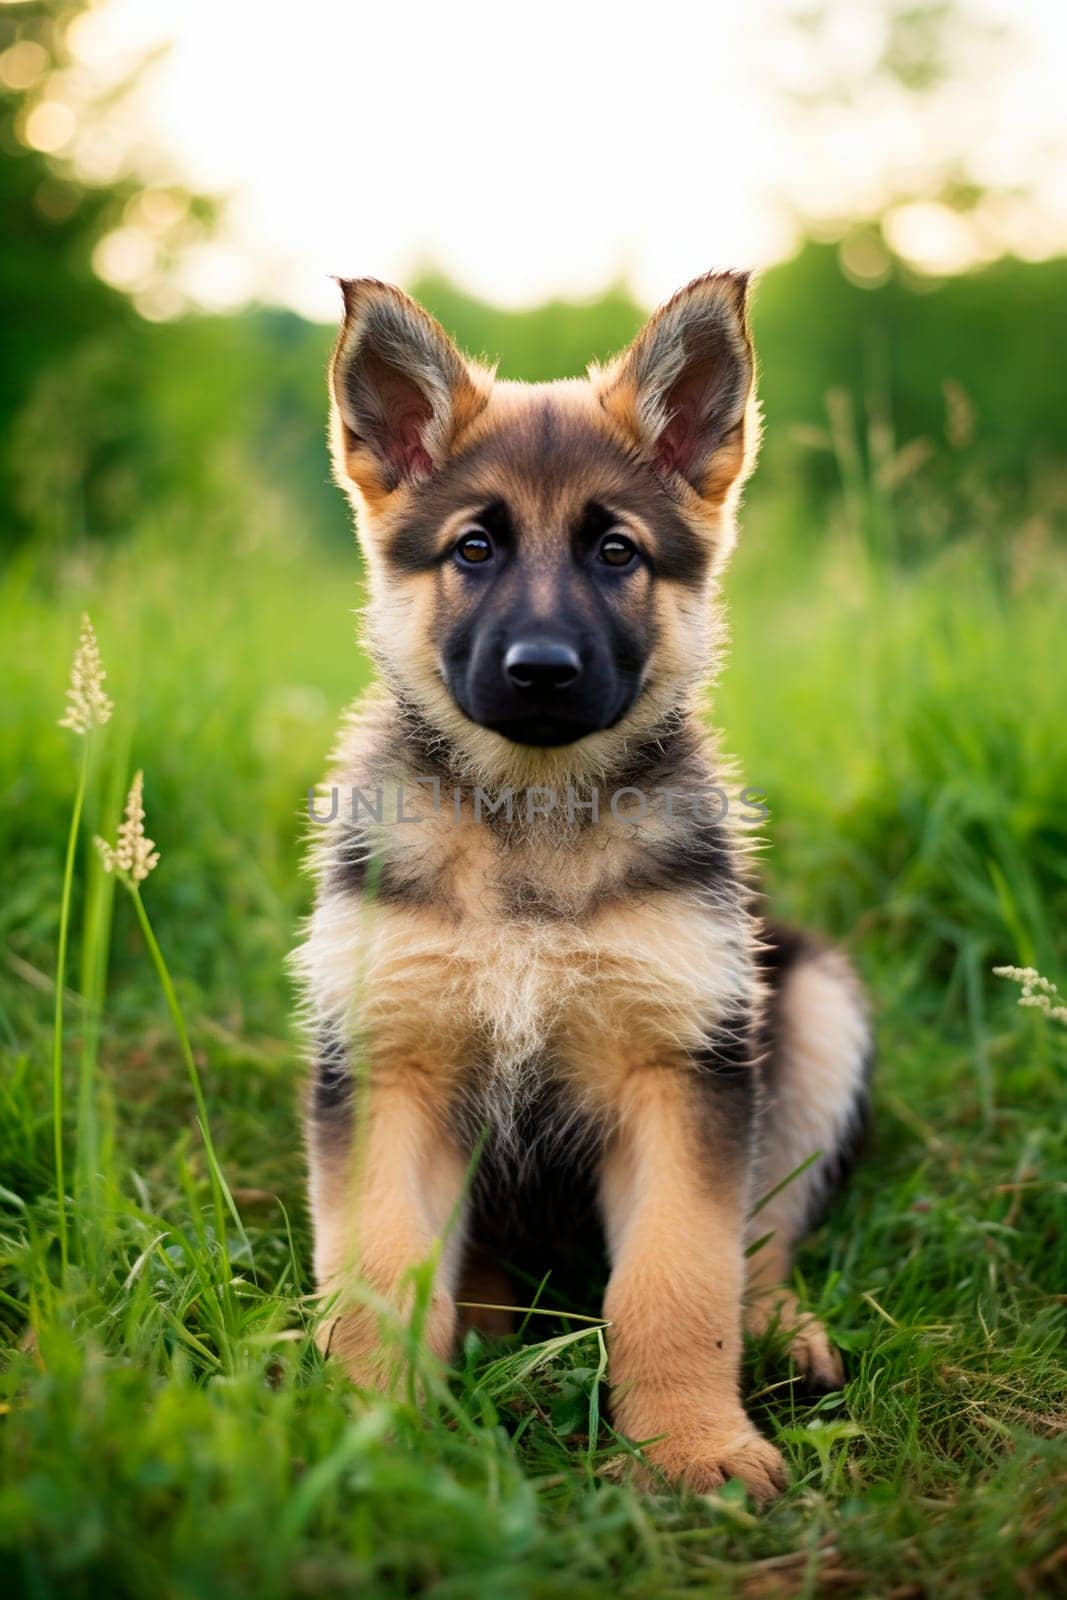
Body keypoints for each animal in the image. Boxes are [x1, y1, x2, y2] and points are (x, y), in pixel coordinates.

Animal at [295, 275, 870, 1497]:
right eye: (473, 548)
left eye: (615, 551)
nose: (542, 673)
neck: (531, 819)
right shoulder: (385, 1071)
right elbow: (377, 1275)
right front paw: (366, 1437)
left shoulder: (681, 1077)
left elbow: (675, 1282)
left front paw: (692, 1447)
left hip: (813, 1006)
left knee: (764, 1239)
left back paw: (782, 1335)